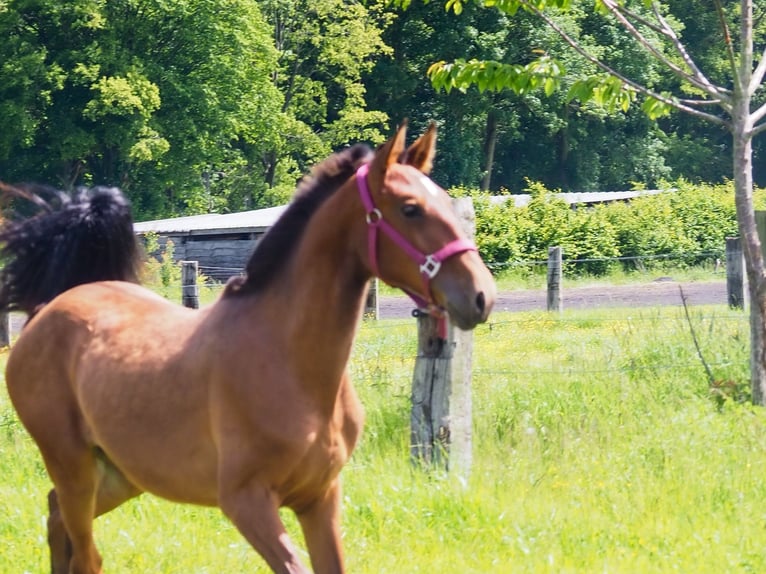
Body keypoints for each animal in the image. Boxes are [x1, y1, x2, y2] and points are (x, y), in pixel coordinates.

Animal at [0, 123, 496, 574]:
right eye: (410, 209)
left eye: (444, 198)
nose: (481, 296)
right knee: (85, 552)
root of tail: (47, 310)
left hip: (123, 474)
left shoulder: (320, 498)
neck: (293, 367)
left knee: (56, 518)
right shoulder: (246, 502)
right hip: (71, 464)